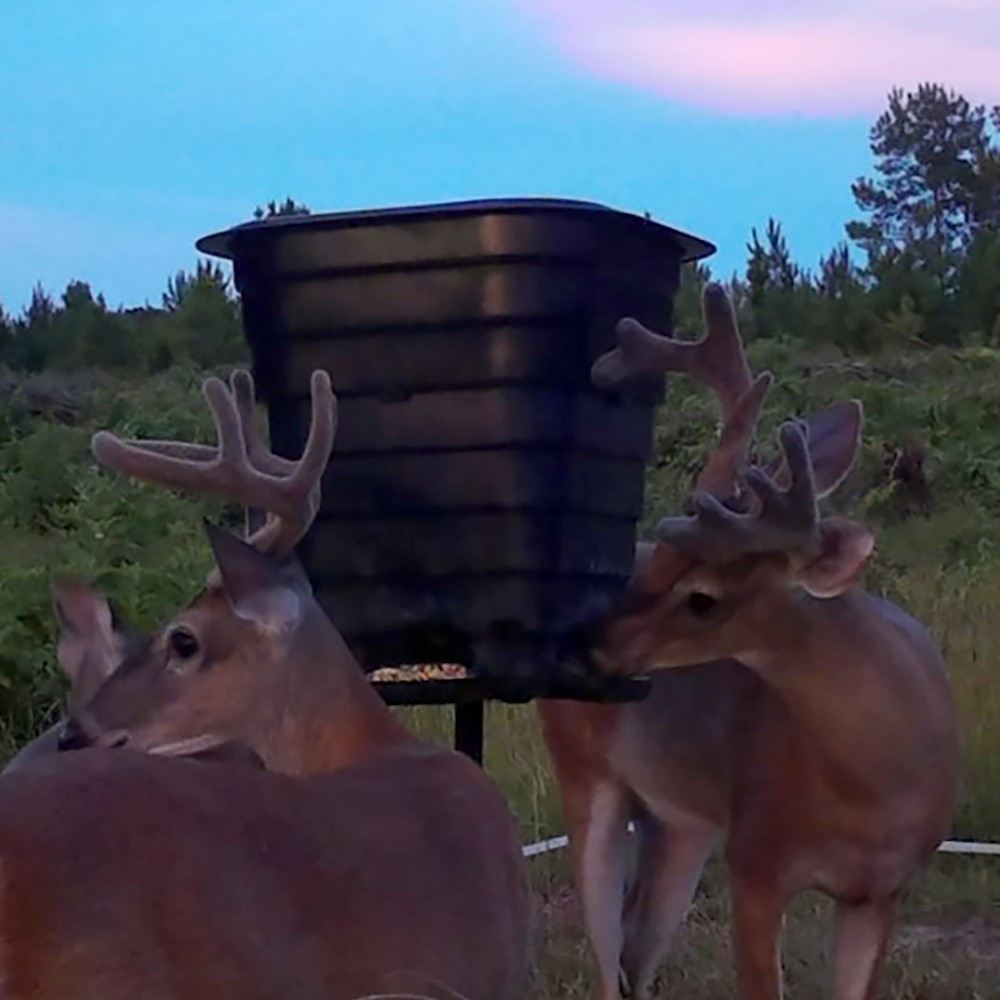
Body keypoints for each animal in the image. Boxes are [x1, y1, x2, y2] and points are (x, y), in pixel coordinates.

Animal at [537, 284, 959, 1000]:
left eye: (702, 597)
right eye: (654, 562)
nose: (582, 641)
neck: (874, 786)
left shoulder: (882, 892)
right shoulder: (757, 860)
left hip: (680, 819)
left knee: (634, 960)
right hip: (585, 775)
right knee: (607, 962)